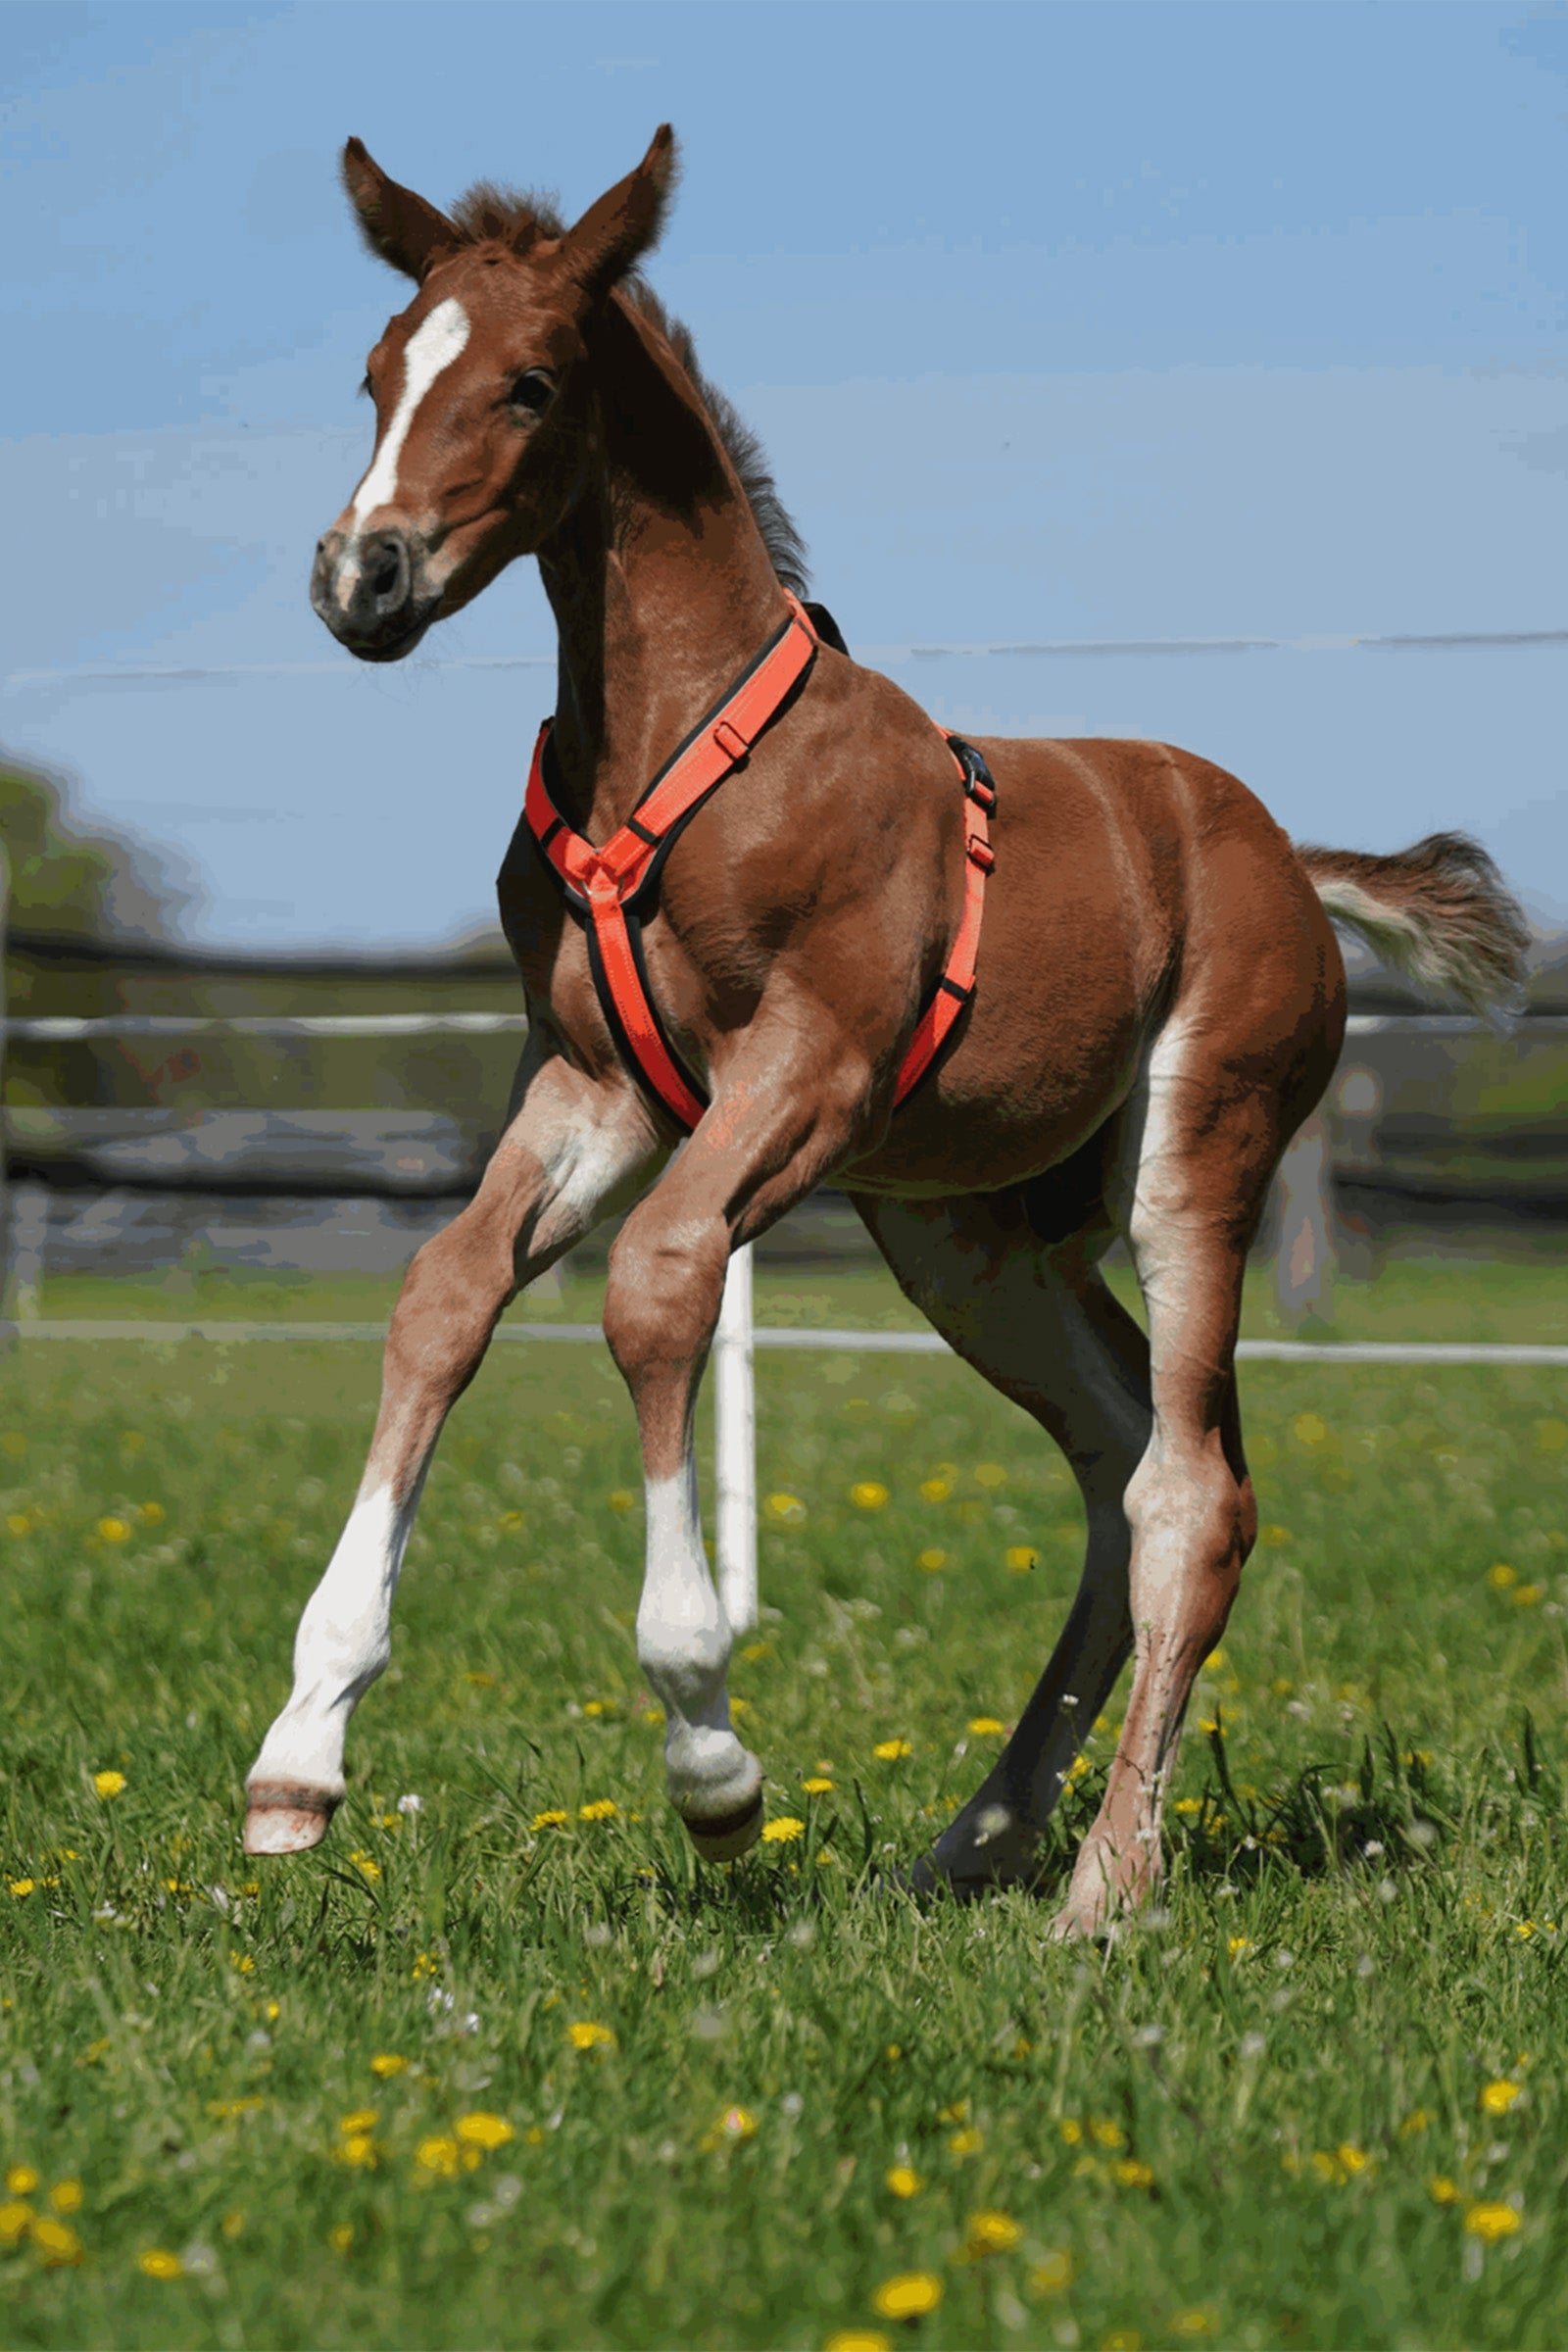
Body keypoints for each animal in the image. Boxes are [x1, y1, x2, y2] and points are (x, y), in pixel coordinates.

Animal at [242, 128, 1527, 1938]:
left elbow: (659, 1285)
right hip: (969, 1242)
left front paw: (710, 1755)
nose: (364, 577)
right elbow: (444, 1296)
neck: (676, 755)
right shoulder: (598, 1084)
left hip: (1194, 1150)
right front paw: (299, 1753)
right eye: (375, 374)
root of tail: (1293, 857)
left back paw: (1102, 1891)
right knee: (1117, 1464)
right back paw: (979, 1836)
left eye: (530, 384)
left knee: (1193, 1494)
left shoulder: (815, 1065)